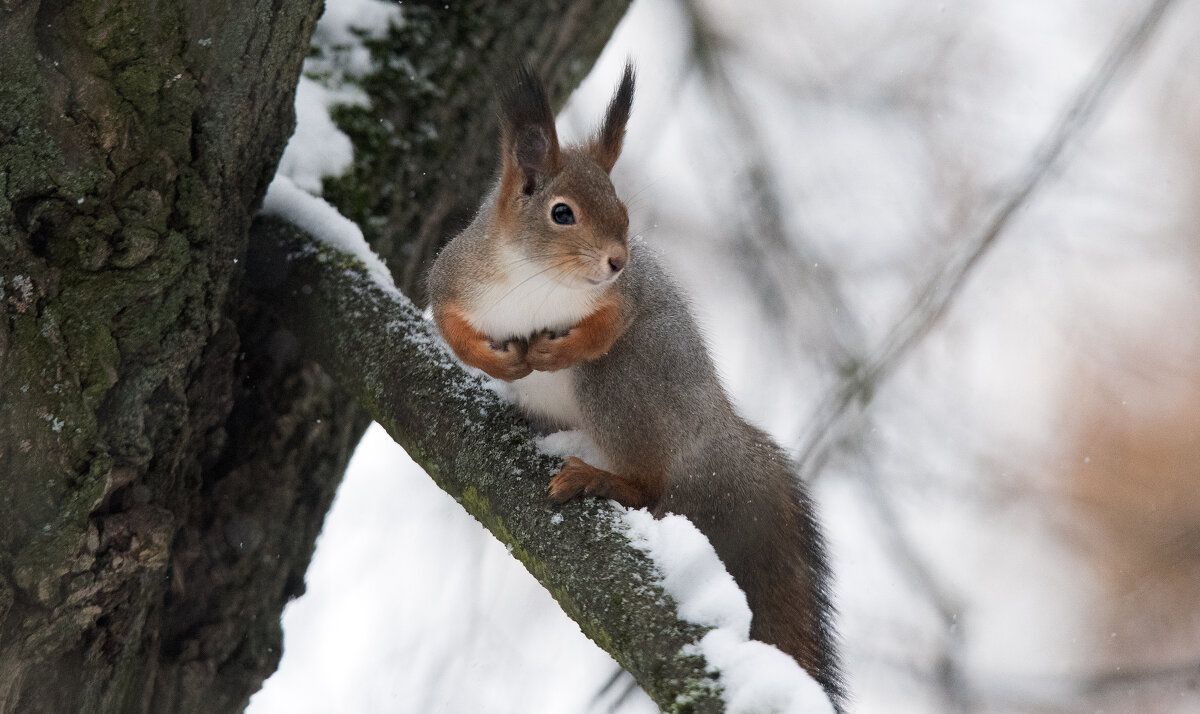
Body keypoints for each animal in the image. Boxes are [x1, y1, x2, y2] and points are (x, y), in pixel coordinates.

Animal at [429, 63, 844, 710]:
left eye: (621, 205)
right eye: (562, 213)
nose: (617, 260)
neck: (535, 279)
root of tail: (713, 434)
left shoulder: (624, 298)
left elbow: (609, 324)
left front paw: (554, 350)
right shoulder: (453, 278)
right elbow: (446, 321)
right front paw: (495, 362)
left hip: (624, 384)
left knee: (648, 486)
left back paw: (598, 477)